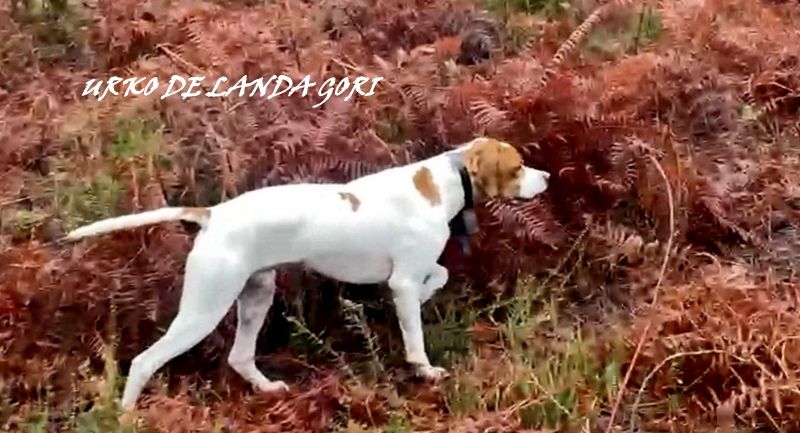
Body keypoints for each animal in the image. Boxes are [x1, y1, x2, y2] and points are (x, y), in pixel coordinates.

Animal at [65, 137, 552, 410]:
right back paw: (127, 414)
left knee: (240, 357)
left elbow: (439, 276)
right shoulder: (403, 279)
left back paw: (267, 389)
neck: (446, 181)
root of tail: (214, 214)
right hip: (204, 308)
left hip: (255, 298)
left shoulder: (410, 274)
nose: (546, 177)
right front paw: (424, 369)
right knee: (145, 361)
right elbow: (415, 330)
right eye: (518, 167)